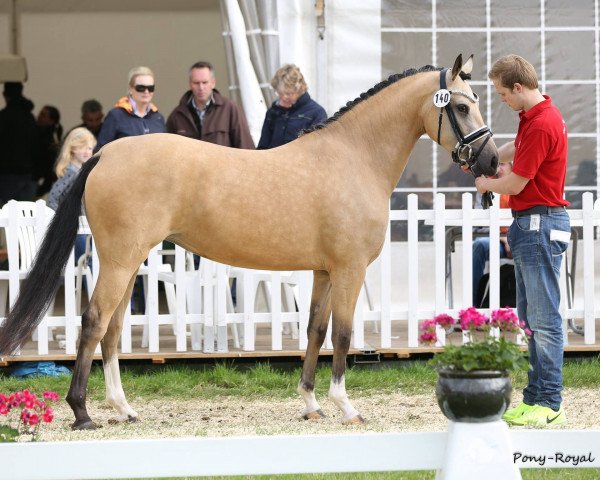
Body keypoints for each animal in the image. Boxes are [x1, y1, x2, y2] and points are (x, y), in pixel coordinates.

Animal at [0, 52, 496, 428]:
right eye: (463, 107)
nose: (491, 160)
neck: (353, 156)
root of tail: (105, 153)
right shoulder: (349, 269)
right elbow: (342, 332)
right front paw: (346, 406)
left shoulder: (324, 271)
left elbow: (314, 330)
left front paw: (310, 403)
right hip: (121, 260)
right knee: (94, 322)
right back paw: (82, 413)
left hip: (129, 261)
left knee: (114, 328)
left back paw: (123, 408)